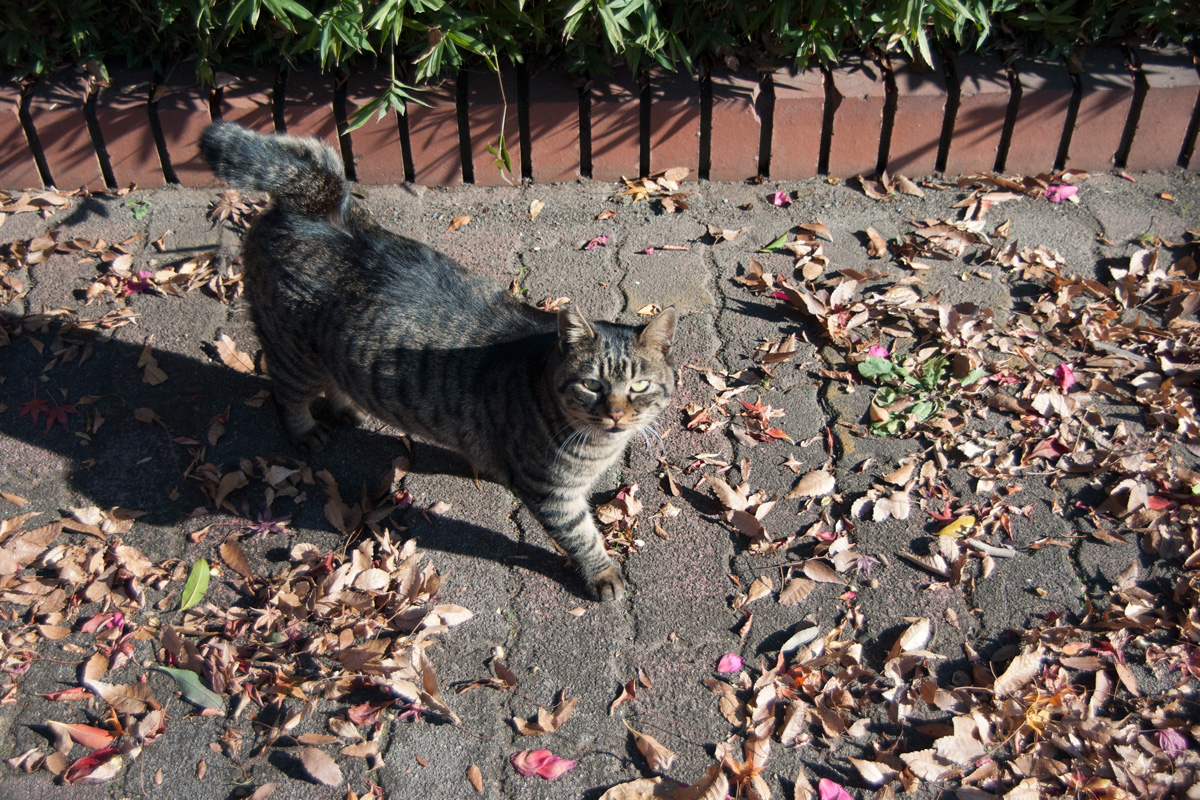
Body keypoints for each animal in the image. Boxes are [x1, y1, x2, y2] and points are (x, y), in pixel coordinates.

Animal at [201, 122, 681, 599]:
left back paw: (345, 408)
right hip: (293, 355)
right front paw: (602, 574)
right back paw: (305, 429)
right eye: (592, 385)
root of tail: (313, 206)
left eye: (638, 386)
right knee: (285, 393)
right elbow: (582, 537)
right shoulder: (554, 496)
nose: (616, 414)